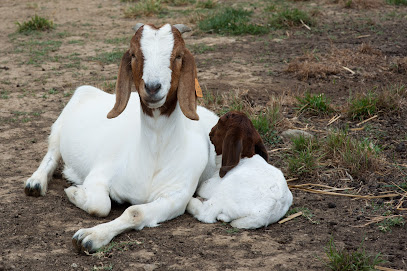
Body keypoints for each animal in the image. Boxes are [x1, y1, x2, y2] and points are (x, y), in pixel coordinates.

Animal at [23, 24, 220, 254]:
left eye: (178, 55)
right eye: (134, 54)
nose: (152, 87)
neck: (153, 155)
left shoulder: (176, 198)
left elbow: (135, 212)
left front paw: (90, 236)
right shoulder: (100, 174)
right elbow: (100, 205)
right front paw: (75, 194)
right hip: (60, 124)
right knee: (51, 153)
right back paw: (35, 183)